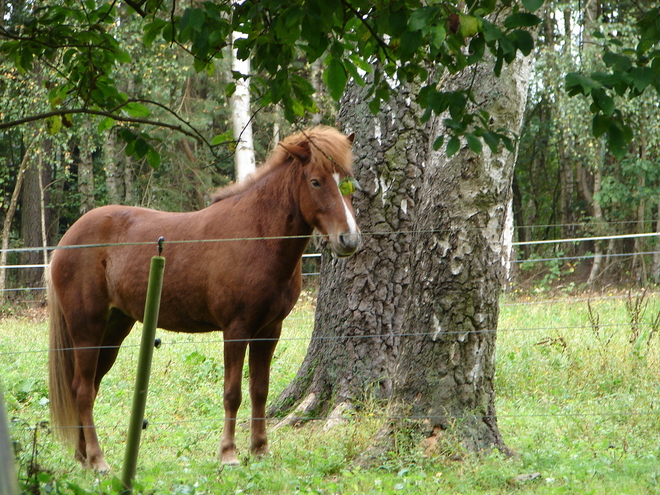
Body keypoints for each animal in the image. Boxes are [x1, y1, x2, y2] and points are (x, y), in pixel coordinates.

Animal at [47, 126, 360, 470]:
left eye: (348, 179)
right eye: (315, 181)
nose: (349, 239)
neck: (257, 234)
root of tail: (66, 242)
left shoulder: (269, 331)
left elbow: (259, 390)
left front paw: (260, 449)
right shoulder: (236, 329)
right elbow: (233, 393)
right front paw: (229, 454)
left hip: (114, 328)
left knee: (89, 386)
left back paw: (83, 456)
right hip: (87, 328)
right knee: (83, 390)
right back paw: (98, 459)